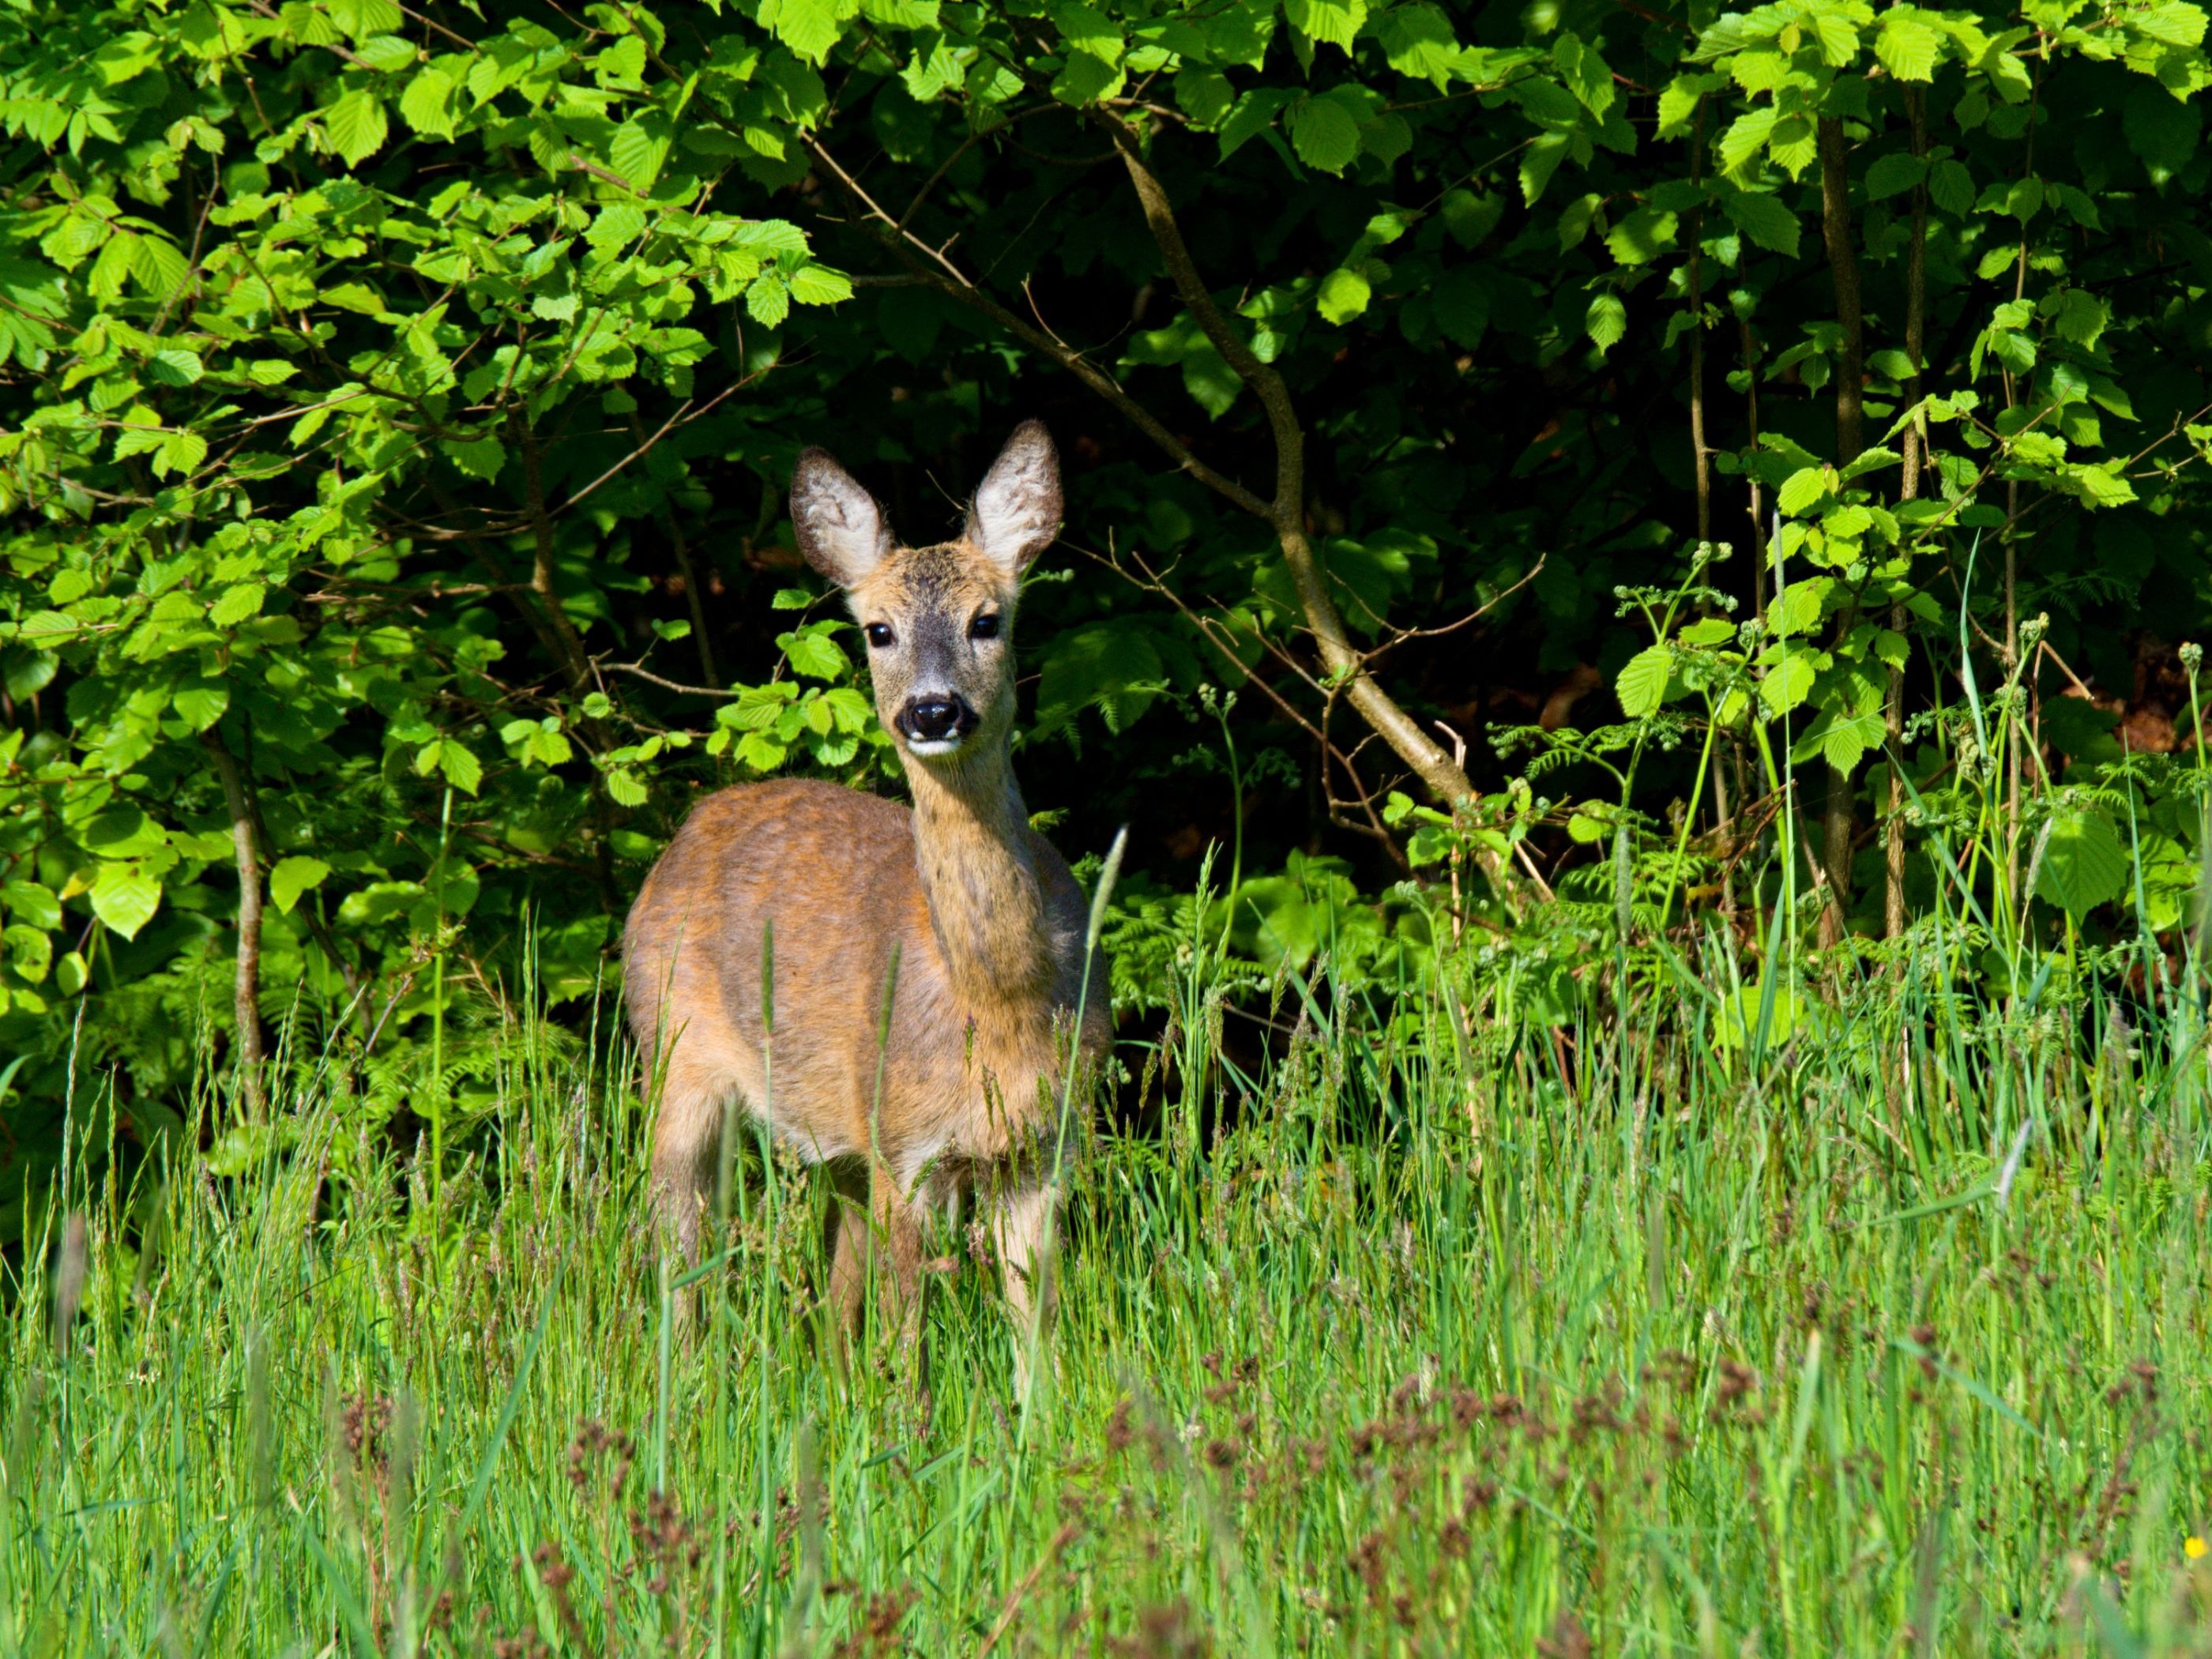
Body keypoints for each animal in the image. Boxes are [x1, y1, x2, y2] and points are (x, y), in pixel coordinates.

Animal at [619, 422, 1106, 1380]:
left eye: (987, 620)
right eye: (878, 630)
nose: (932, 710)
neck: (995, 1005)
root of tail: (695, 822)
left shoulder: (1047, 1142)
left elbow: (1036, 1328)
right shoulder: (902, 1143)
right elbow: (906, 1338)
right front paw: (907, 1417)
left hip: (835, 1134)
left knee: (833, 1290)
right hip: (671, 1052)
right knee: (679, 1252)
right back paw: (683, 1385)